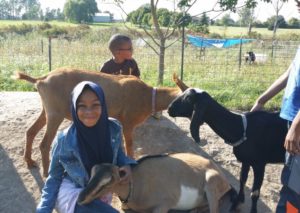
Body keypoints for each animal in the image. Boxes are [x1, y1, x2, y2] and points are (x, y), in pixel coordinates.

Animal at [14, 67, 188, 177]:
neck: (148, 96)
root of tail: (42, 79)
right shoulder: (128, 122)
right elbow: (129, 145)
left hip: (47, 110)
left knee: (30, 131)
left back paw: (29, 161)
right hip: (55, 113)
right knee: (44, 143)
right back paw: (45, 172)